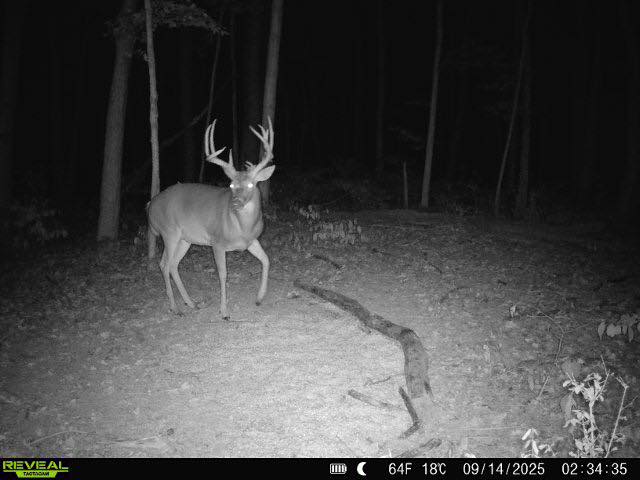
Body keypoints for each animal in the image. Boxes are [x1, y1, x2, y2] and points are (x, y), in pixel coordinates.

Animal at [147, 118, 275, 320]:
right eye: (231, 185)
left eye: (250, 185)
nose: (235, 204)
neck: (242, 228)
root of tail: (150, 205)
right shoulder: (217, 242)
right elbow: (223, 274)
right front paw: (224, 312)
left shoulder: (251, 241)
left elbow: (266, 260)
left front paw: (259, 298)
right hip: (169, 232)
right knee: (164, 264)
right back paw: (176, 308)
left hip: (185, 239)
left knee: (173, 264)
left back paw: (191, 303)